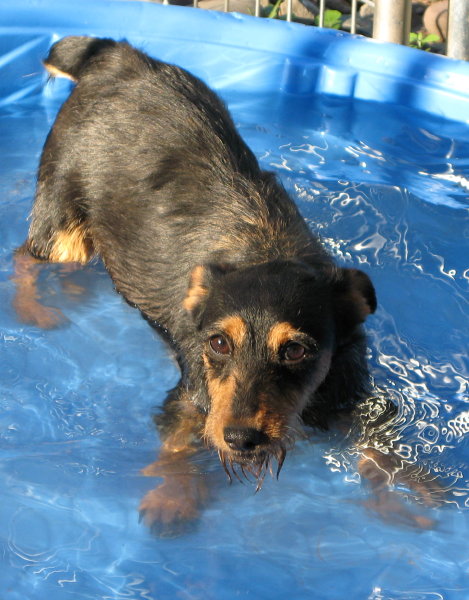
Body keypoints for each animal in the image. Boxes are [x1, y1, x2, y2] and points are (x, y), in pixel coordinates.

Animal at [12, 37, 440, 536]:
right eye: (217, 343)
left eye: (296, 350)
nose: (240, 438)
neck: (265, 250)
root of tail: (117, 56)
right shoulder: (191, 399)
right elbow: (178, 448)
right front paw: (173, 497)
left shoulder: (348, 389)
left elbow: (379, 444)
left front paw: (403, 489)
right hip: (62, 225)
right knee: (23, 258)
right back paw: (31, 310)